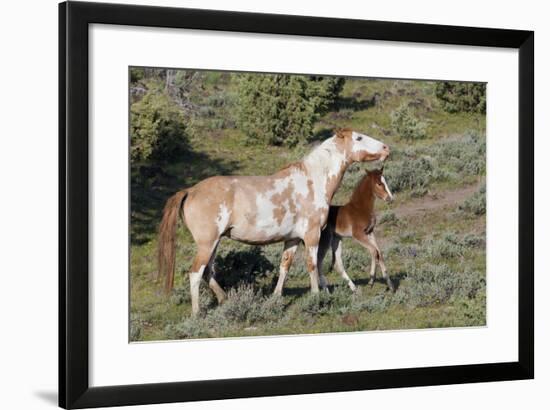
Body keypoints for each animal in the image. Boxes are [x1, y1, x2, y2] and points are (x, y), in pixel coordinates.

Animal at [158, 130, 392, 316]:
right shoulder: (312, 235)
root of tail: (190, 191)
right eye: (359, 137)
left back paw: (225, 299)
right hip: (207, 243)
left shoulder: (293, 239)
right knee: (196, 273)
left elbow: (284, 267)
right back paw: (197, 313)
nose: (386, 148)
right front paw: (316, 296)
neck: (312, 182)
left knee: (208, 272)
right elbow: (312, 265)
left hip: (214, 243)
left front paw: (276, 297)